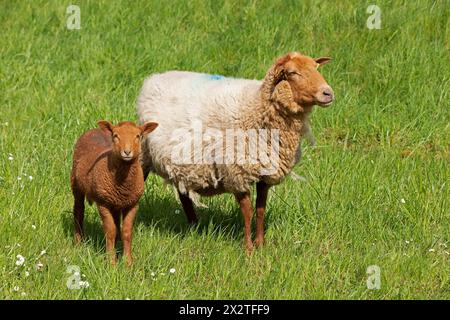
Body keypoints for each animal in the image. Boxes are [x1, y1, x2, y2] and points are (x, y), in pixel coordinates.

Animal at [71, 120, 158, 264]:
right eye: (116, 135)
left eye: (138, 136)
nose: (127, 152)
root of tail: (94, 130)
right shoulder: (103, 203)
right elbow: (110, 231)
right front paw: (111, 262)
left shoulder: (133, 204)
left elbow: (126, 232)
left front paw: (128, 262)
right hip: (76, 185)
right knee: (78, 211)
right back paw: (78, 243)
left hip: (116, 203)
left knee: (116, 222)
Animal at [137, 52, 334, 252]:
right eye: (293, 72)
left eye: (316, 68)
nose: (328, 93)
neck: (257, 107)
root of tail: (154, 79)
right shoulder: (236, 173)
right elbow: (247, 211)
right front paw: (248, 249)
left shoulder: (265, 175)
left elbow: (260, 209)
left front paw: (260, 244)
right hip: (144, 156)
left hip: (181, 163)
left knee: (183, 194)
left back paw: (194, 226)